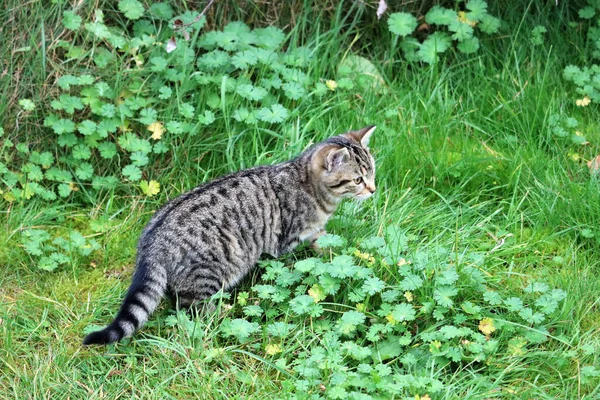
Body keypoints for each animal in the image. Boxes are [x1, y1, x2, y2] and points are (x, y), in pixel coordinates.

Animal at [82, 126, 378, 346]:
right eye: (358, 180)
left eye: (372, 172)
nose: (374, 190)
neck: (311, 188)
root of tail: (151, 243)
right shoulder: (285, 242)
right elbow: (288, 269)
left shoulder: (315, 232)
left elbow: (328, 247)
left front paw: (345, 257)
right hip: (212, 270)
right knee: (190, 307)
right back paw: (223, 317)